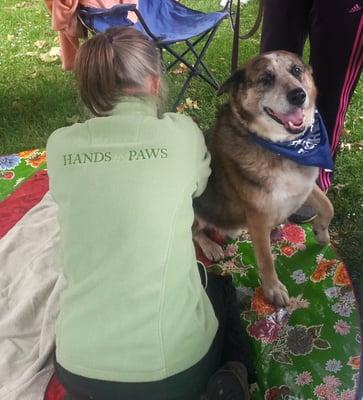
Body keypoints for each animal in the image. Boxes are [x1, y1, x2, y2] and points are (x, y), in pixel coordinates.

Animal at [195, 50, 334, 306]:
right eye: (266, 79)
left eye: (296, 70)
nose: (298, 95)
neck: (283, 149)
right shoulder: (258, 219)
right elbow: (266, 259)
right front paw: (273, 290)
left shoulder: (304, 185)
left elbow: (328, 206)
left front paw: (321, 232)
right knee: (193, 232)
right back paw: (210, 246)